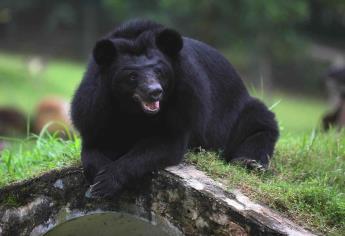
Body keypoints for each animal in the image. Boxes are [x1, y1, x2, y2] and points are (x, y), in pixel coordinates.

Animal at [71, 19, 278, 197]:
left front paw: (107, 181)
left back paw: (249, 162)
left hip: (237, 112)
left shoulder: (186, 101)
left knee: (260, 123)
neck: (135, 112)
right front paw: (98, 178)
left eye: (159, 71)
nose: (154, 92)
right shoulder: (95, 108)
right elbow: (92, 147)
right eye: (131, 76)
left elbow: (164, 143)